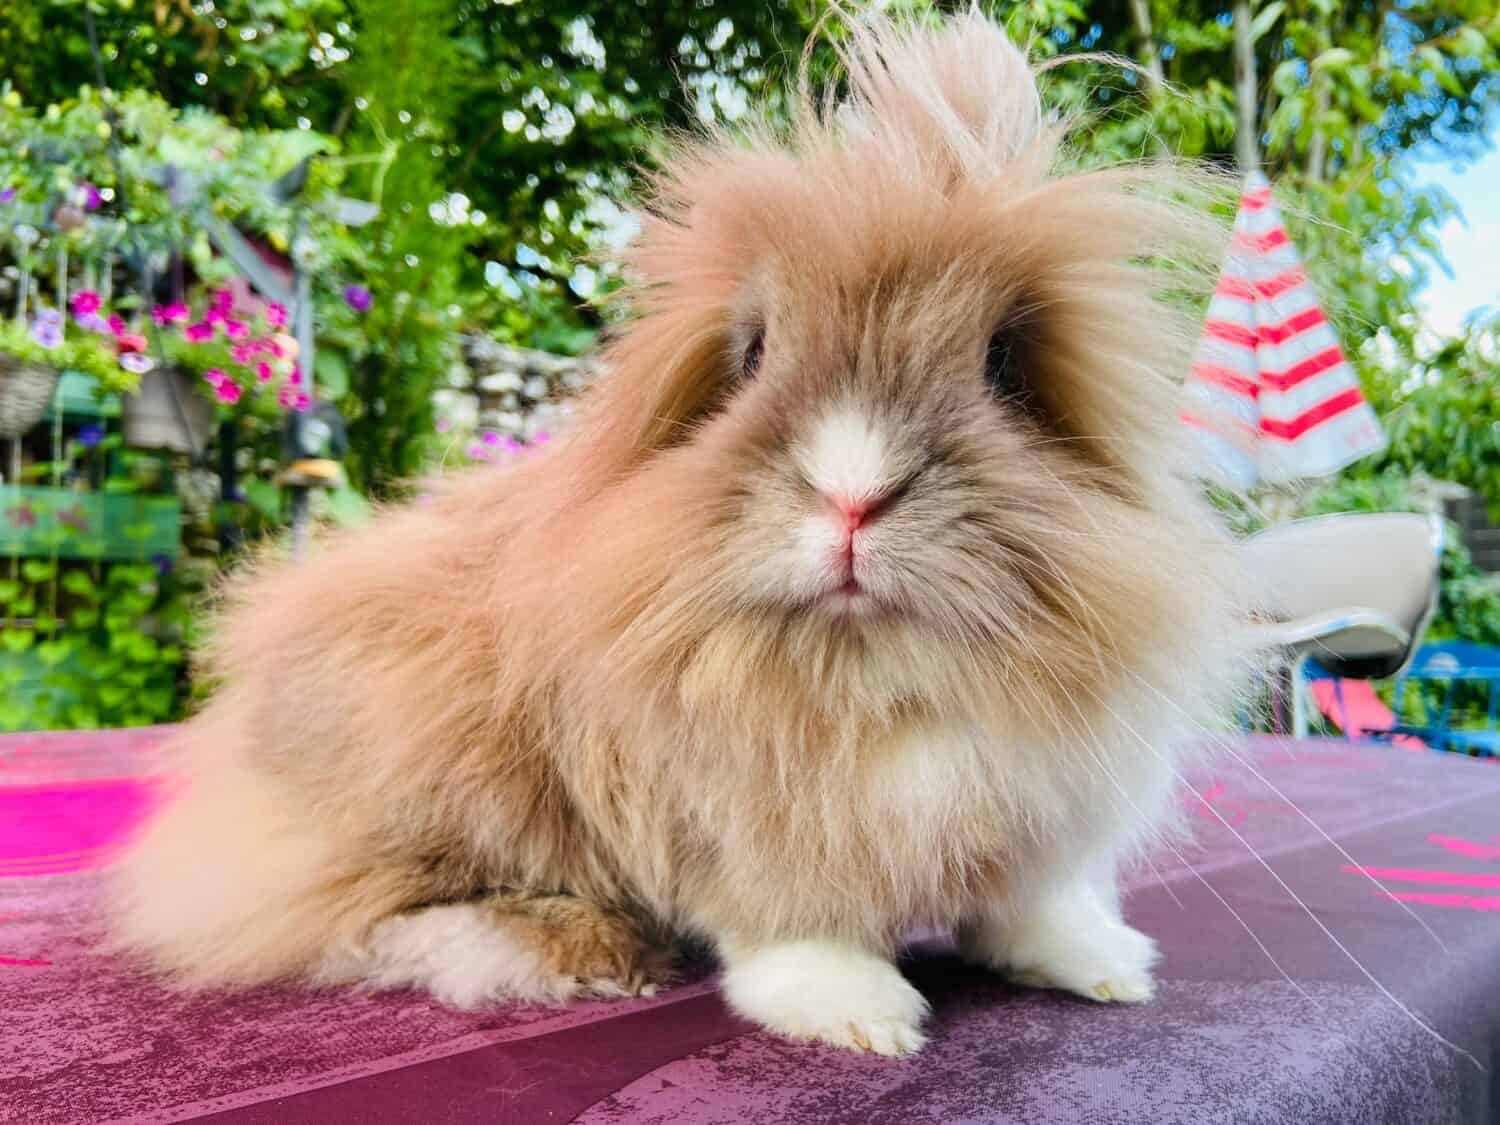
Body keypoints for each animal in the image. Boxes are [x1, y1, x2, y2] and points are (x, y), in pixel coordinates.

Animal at [111, 8, 1242, 1056]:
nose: (852, 493)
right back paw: (574, 951)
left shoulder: (1042, 812)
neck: (869, 675)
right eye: (752, 353)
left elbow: (1035, 904)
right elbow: (797, 926)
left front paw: (1107, 967)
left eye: (1005, 360)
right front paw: (861, 1016)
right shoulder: (737, 828)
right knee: (349, 916)